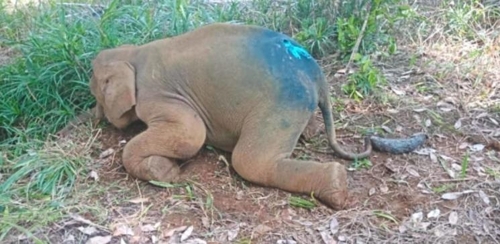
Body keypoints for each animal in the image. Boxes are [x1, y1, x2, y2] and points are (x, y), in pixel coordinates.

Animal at [81, 23, 372, 210]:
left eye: (95, 90)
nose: (93, 117)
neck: (134, 52)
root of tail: (317, 73)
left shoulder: (158, 94)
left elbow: (191, 135)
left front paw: (165, 171)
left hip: (280, 105)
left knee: (250, 162)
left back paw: (336, 186)